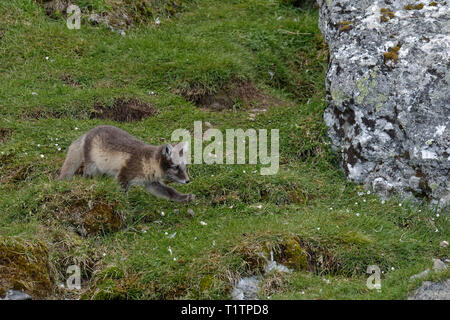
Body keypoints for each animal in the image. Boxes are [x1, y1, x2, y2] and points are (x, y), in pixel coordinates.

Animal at [59, 125, 194, 202]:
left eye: (184, 167)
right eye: (175, 167)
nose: (188, 181)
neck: (148, 162)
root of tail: (87, 133)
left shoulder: (151, 183)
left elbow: (170, 192)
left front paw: (185, 198)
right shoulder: (124, 176)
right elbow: (122, 193)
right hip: (91, 166)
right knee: (86, 176)